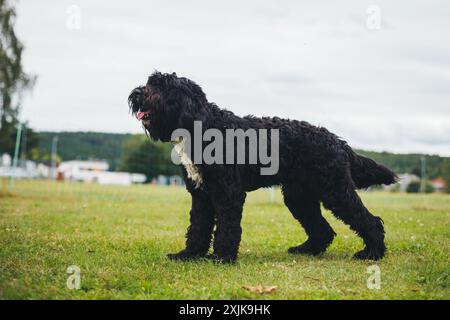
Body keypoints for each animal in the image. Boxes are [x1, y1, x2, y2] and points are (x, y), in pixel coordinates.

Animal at [128, 72, 396, 262]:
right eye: (150, 81)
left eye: (162, 87)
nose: (137, 93)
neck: (202, 126)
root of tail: (337, 141)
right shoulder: (201, 195)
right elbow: (198, 227)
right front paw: (189, 255)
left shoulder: (228, 193)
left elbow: (226, 227)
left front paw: (221, 257)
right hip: (300, 196)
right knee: (323, 230)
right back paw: (306, 249)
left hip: (335, 190)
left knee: (369, 220)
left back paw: (371, 253)